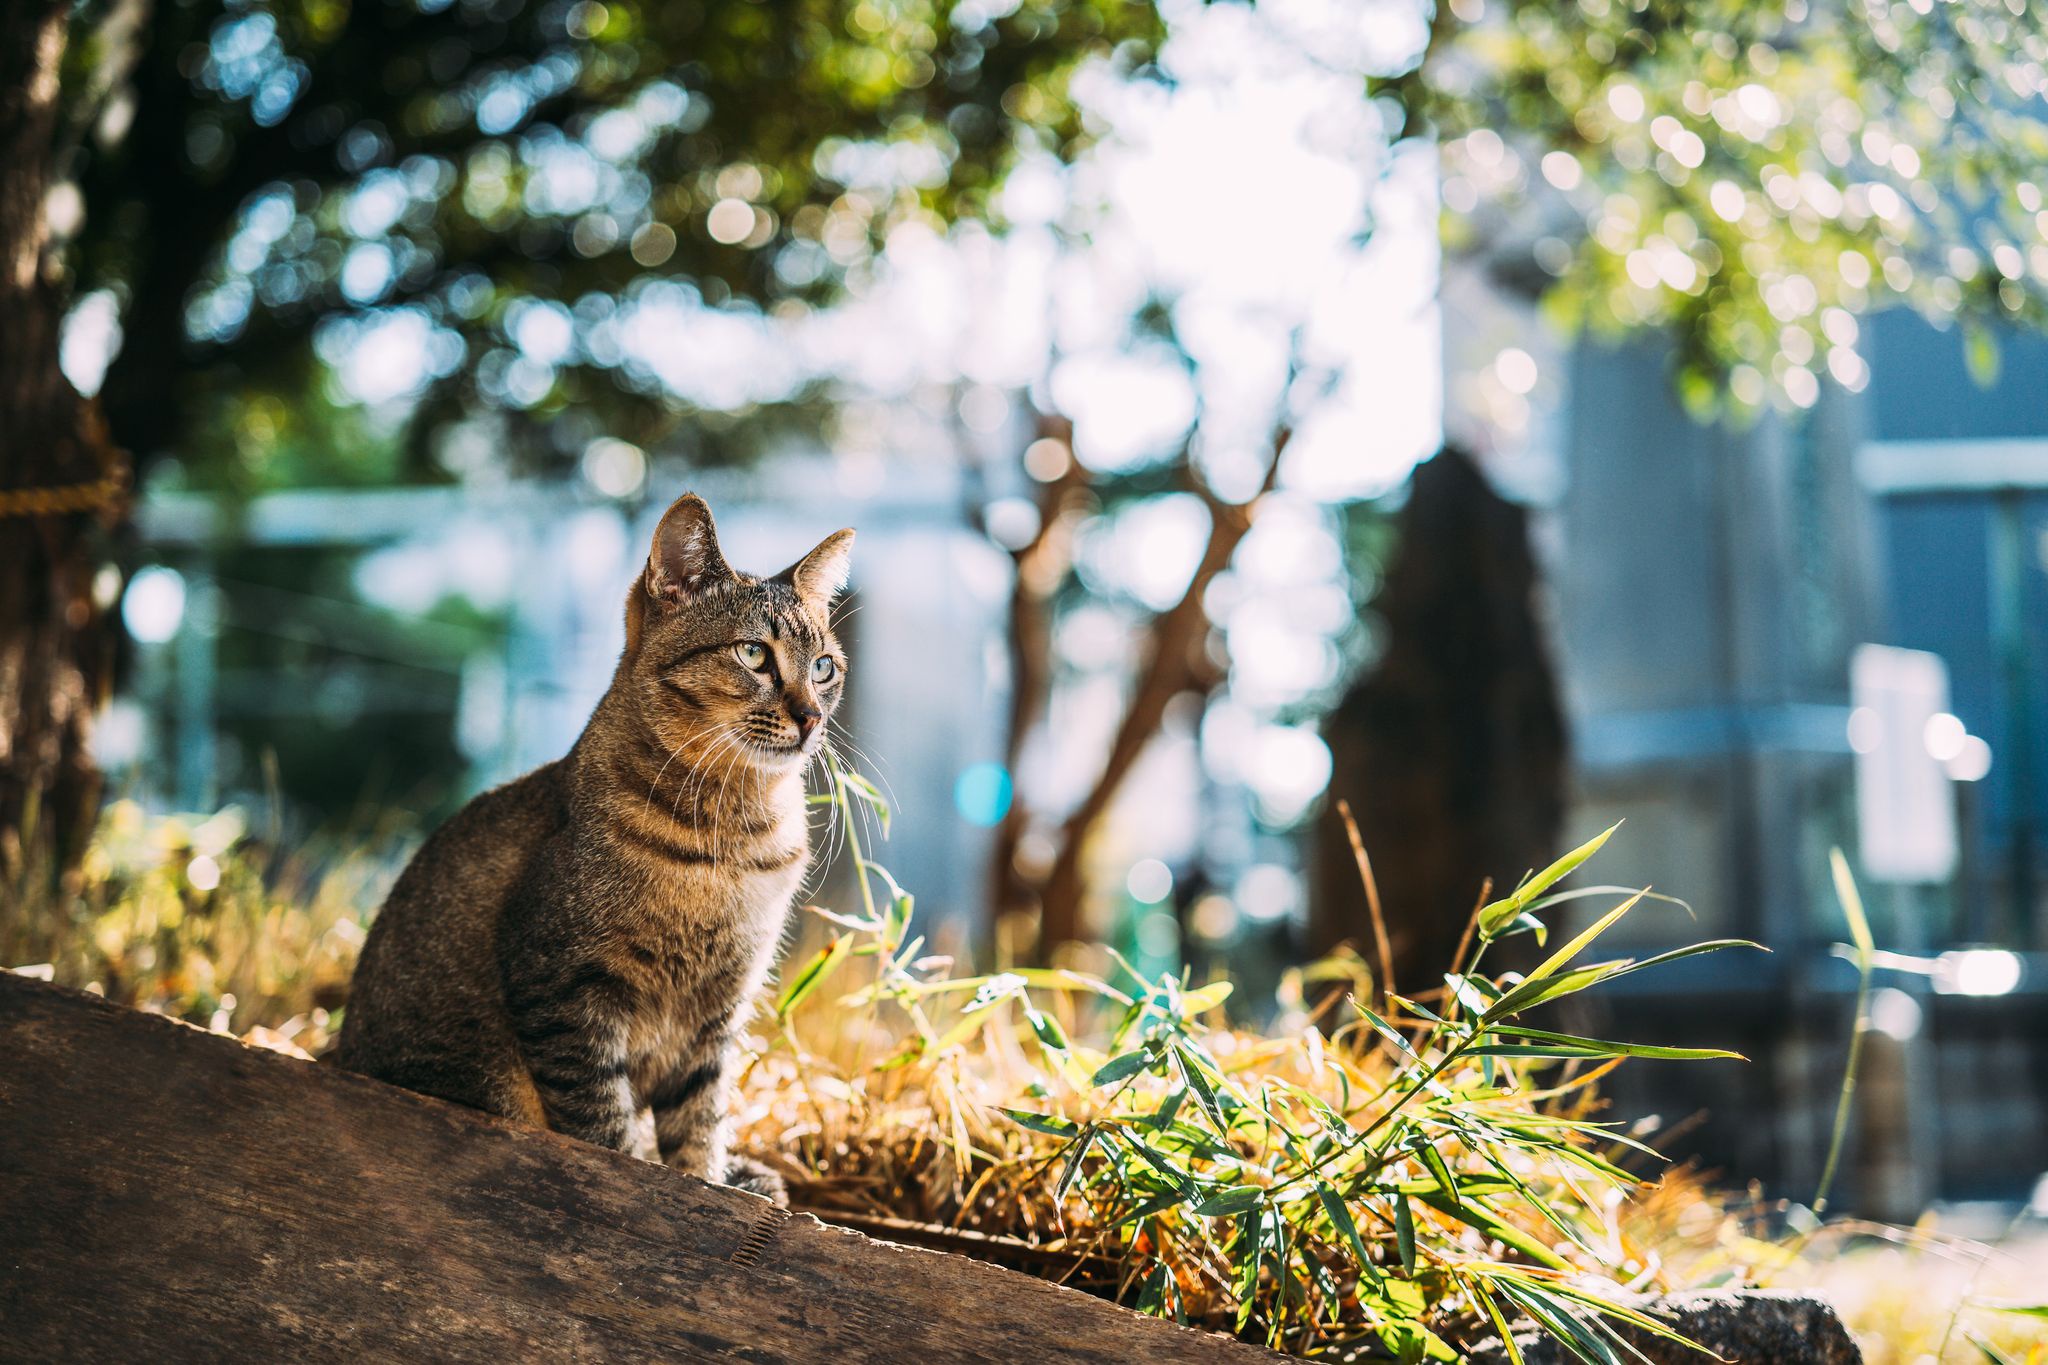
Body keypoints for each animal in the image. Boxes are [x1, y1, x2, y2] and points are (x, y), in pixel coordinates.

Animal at [339, 497, 851, 1203]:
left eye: (824, 666)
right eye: (753, 653)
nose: (811, 718)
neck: (733, 834)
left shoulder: (717, 1012)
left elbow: (699, 1127)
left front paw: (708, 1183)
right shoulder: (564, 989)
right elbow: (606, 1134)